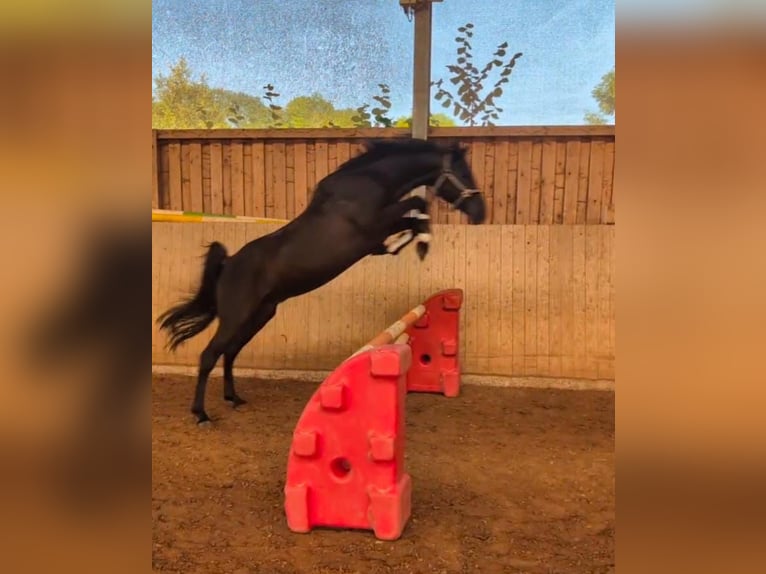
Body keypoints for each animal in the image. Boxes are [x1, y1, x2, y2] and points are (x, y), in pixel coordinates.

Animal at [157, 137, 485, 424]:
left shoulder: (375, 239)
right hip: (237, 317)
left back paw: (233, 398)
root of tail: (227, 265)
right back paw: (201, 415)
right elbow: (416, 205)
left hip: (259, 315)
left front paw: (410, 243)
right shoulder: (374, 228)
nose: (481, 213)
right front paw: (420, 245)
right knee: (209, 355)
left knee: (230, 352)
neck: (368, 184)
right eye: (463, 172)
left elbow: (412, 217)